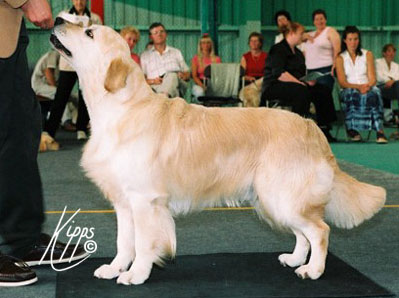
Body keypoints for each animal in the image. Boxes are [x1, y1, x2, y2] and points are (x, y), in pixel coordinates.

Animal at [50, 16, 388, 286]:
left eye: (89, 32)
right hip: (274, 197)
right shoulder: (124, 201)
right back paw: (295, 259)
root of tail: (311, 127)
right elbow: (124, 242)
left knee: (319, 230)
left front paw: (136, 275)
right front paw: (115, 268)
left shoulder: (146, 200)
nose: (57, 19)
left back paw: (313, 270)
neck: (121, 107)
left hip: (282, 195)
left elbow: (144, 244)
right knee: (303, 233)